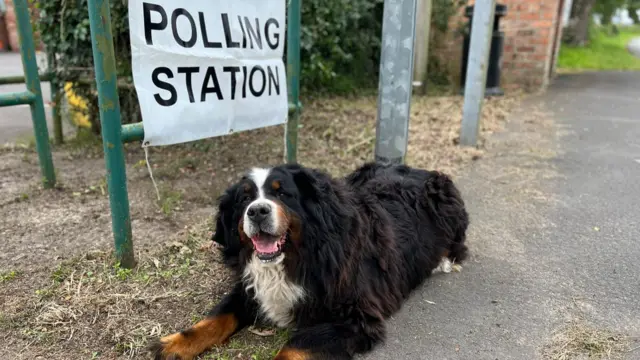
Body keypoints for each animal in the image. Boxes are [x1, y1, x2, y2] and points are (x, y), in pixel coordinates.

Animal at [152, 161, 468, 360]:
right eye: (244, 199)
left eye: (282, 192)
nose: (257, 211)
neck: (298, 256)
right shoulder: (250, 287)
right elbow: (217, 317)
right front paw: (174, 344)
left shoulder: (353, 317)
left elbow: (294, 347)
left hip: (446, 201)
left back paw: (444, 261)